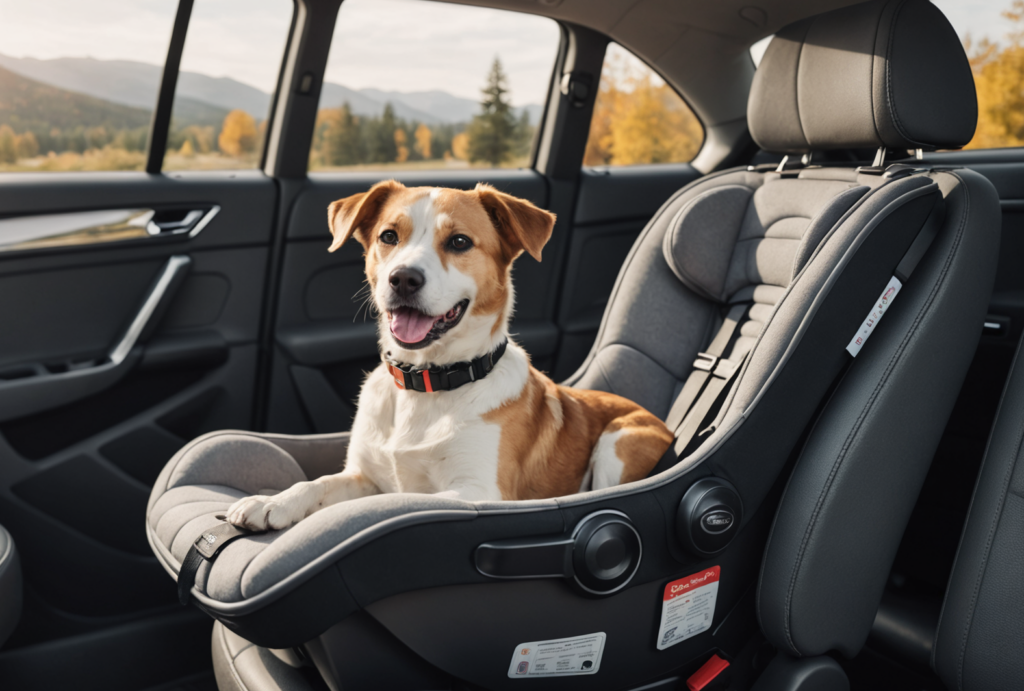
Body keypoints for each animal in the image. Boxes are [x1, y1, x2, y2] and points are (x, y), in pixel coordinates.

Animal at [226, 181, 671, 532]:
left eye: (459, 242)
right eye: (389, 236)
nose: (403, 279)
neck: (426, 383)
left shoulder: (479, 491)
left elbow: (397, 503)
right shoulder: (364, 474)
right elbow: (316, 483)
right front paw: (273, 501)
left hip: (619, 443)